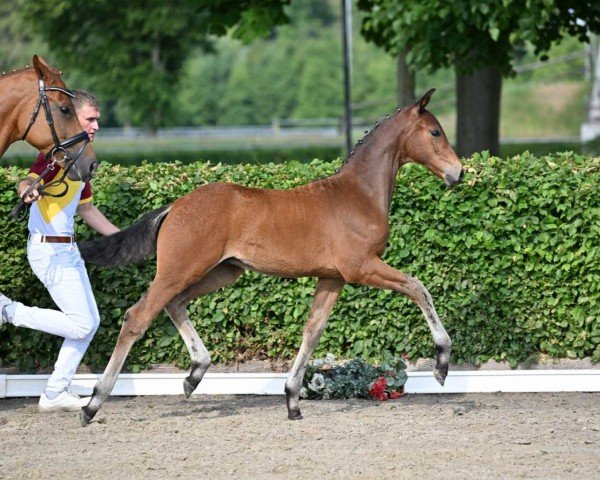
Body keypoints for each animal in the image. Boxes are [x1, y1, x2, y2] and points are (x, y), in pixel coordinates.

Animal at [79, 88, 464, 426]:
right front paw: (441, 364)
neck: (358, 194)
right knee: (138, 316)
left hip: (220, 272)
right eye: (435, 131)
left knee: (175, 305)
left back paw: (194, 375)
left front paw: (292, 400)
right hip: (182, 269)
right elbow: (418, 287)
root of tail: (174, 207)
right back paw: (93, 403)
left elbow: (313, 330)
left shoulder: (332, 277)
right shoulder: (361, 268)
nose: (458, 173)